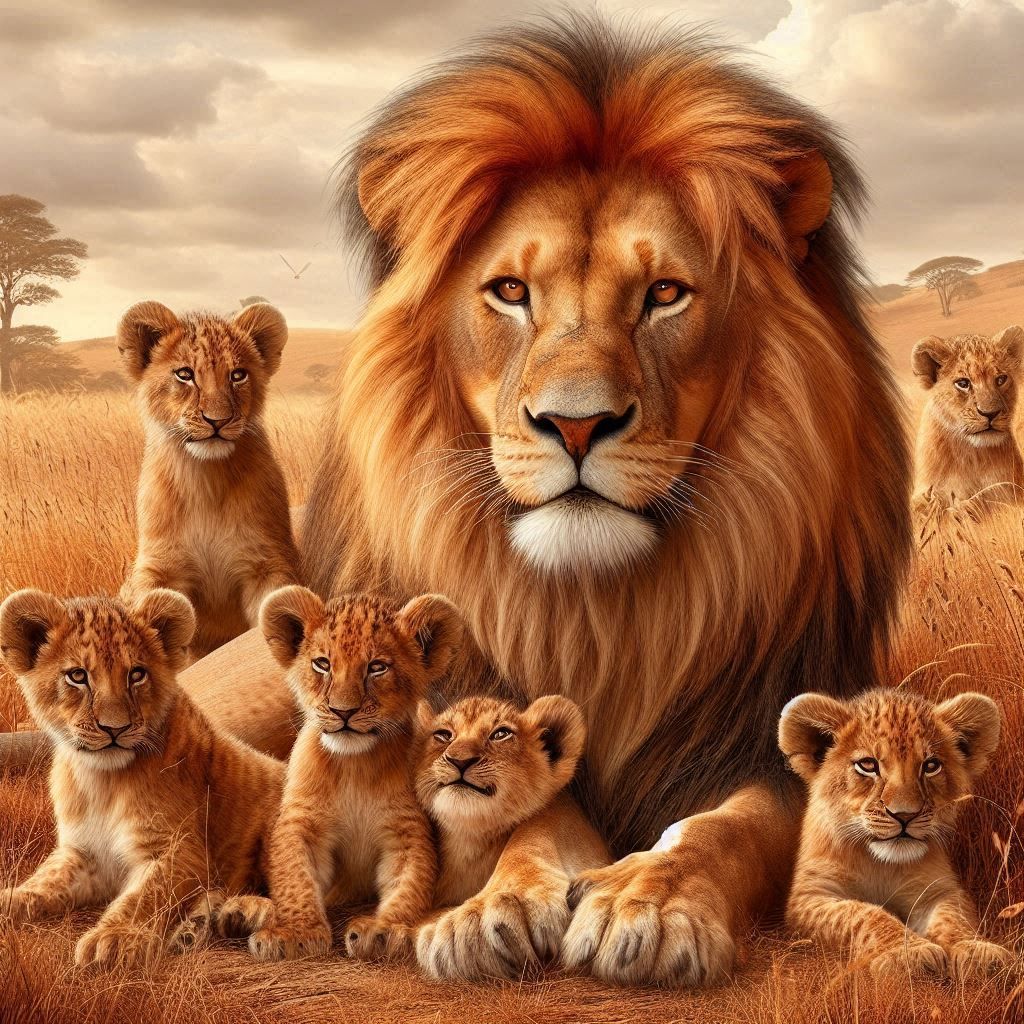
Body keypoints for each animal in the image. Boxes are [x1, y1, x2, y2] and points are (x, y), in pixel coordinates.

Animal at [0, 589, 284, 969]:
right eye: (77, 676)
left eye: (137, 674)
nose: (114, 728)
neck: (101, 781)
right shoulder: (83, 852)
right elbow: (44, 881)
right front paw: (11, 899)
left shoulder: (178, 849)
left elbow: (146, 895)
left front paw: (112, 939)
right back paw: (196, 925)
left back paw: (240, 913)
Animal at [117, 301, 301, 659]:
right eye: (185, 374)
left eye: (238, 375)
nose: (218, 420)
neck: (205, 481)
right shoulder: (161, 567)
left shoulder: (265, 564)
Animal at [142, 15, 911, 986]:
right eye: (511, 292)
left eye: (665, 294)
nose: (576, 424)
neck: (597, 613)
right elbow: (539, 824)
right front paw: (492, 913)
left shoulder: (757, 743)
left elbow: (718, 830)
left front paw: (645, 904)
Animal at [780, 688, 1011, 981]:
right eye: (868, 765)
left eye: (931, 765)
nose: (904, 815)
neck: (880, 863)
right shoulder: (810, 895)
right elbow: (863, 913)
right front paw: (908, 954)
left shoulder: (937, 889)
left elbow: (953, 918)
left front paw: (978, 952)